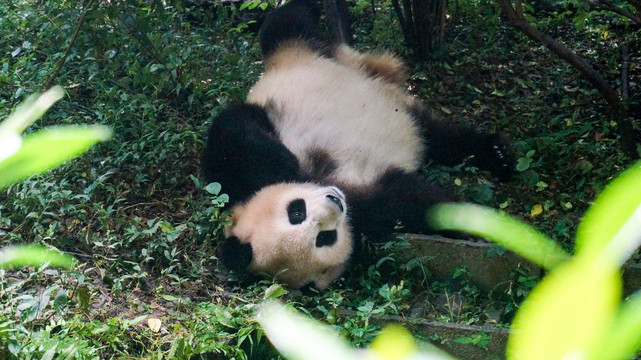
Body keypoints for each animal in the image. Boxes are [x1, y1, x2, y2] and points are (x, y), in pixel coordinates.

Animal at [201, 0, 516, 290]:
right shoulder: (370, 211)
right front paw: (476, 228)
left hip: (296, 50)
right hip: (410, 120)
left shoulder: (241, 170)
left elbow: (233, 134)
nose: (334, 202)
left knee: (285, 23)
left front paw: (287, 165)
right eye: (324, 238)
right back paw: (495, 154)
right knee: (441, 138)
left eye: (296, 212)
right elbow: (417, 203)